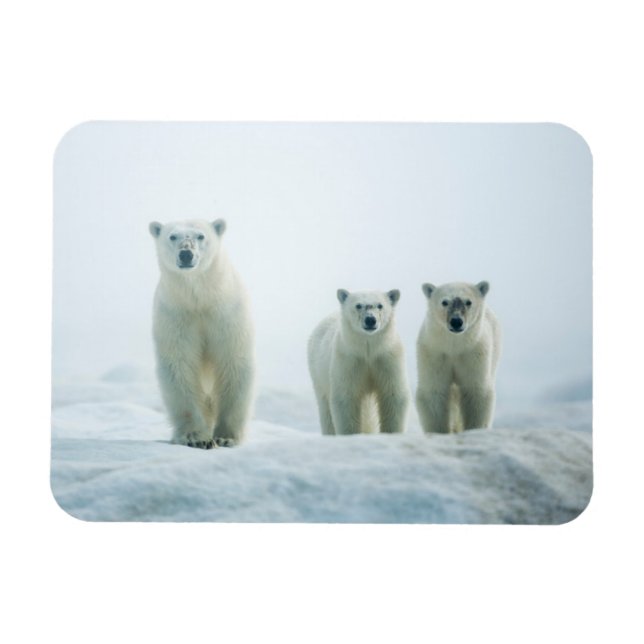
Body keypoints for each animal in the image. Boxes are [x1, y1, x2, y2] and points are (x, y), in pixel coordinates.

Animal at [148, 218, 255, 449]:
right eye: (172, 236)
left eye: (200, 236)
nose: (186, 254)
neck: (200, 299)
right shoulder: (176, 316)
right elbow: (179, 366)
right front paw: (196, 438)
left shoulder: (226, 314)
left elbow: (233, 362)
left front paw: (225, 437)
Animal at [307, 289, 410, 435]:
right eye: (358, 305)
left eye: (380, 305)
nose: (370, 320)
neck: (368, 350)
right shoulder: (349, 360)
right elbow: (346, 398)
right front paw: (350, 434)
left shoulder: (387, 358)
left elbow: (393, 395)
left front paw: (391, 433)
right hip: (318, 373)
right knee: (325, 407)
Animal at [415, 281, 501, 434]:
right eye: (444, 302)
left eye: (468, 302)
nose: (456, 321)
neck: (454, 347)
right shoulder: (434, 352)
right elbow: (434, 391)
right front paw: (440, 431)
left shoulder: (473, 353)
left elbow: (475, 392)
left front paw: (474, 429)